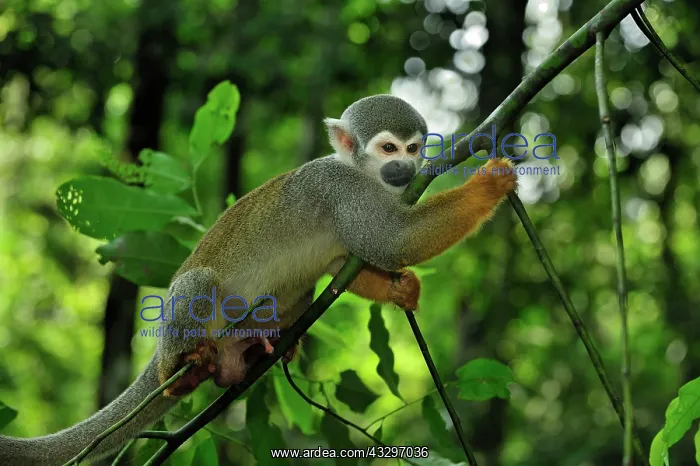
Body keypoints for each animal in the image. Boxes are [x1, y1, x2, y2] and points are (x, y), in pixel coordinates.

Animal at [0, 94, 517, 465]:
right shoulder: (341, 190)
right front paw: (489, 183)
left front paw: (399, 289)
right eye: (389, 149)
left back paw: (257, 350)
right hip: (183, 326)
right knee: (199, 284)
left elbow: (347, 264)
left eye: (413, 149)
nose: (406, 168)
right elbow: (393, 240)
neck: (361, 174)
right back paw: (181, 373)